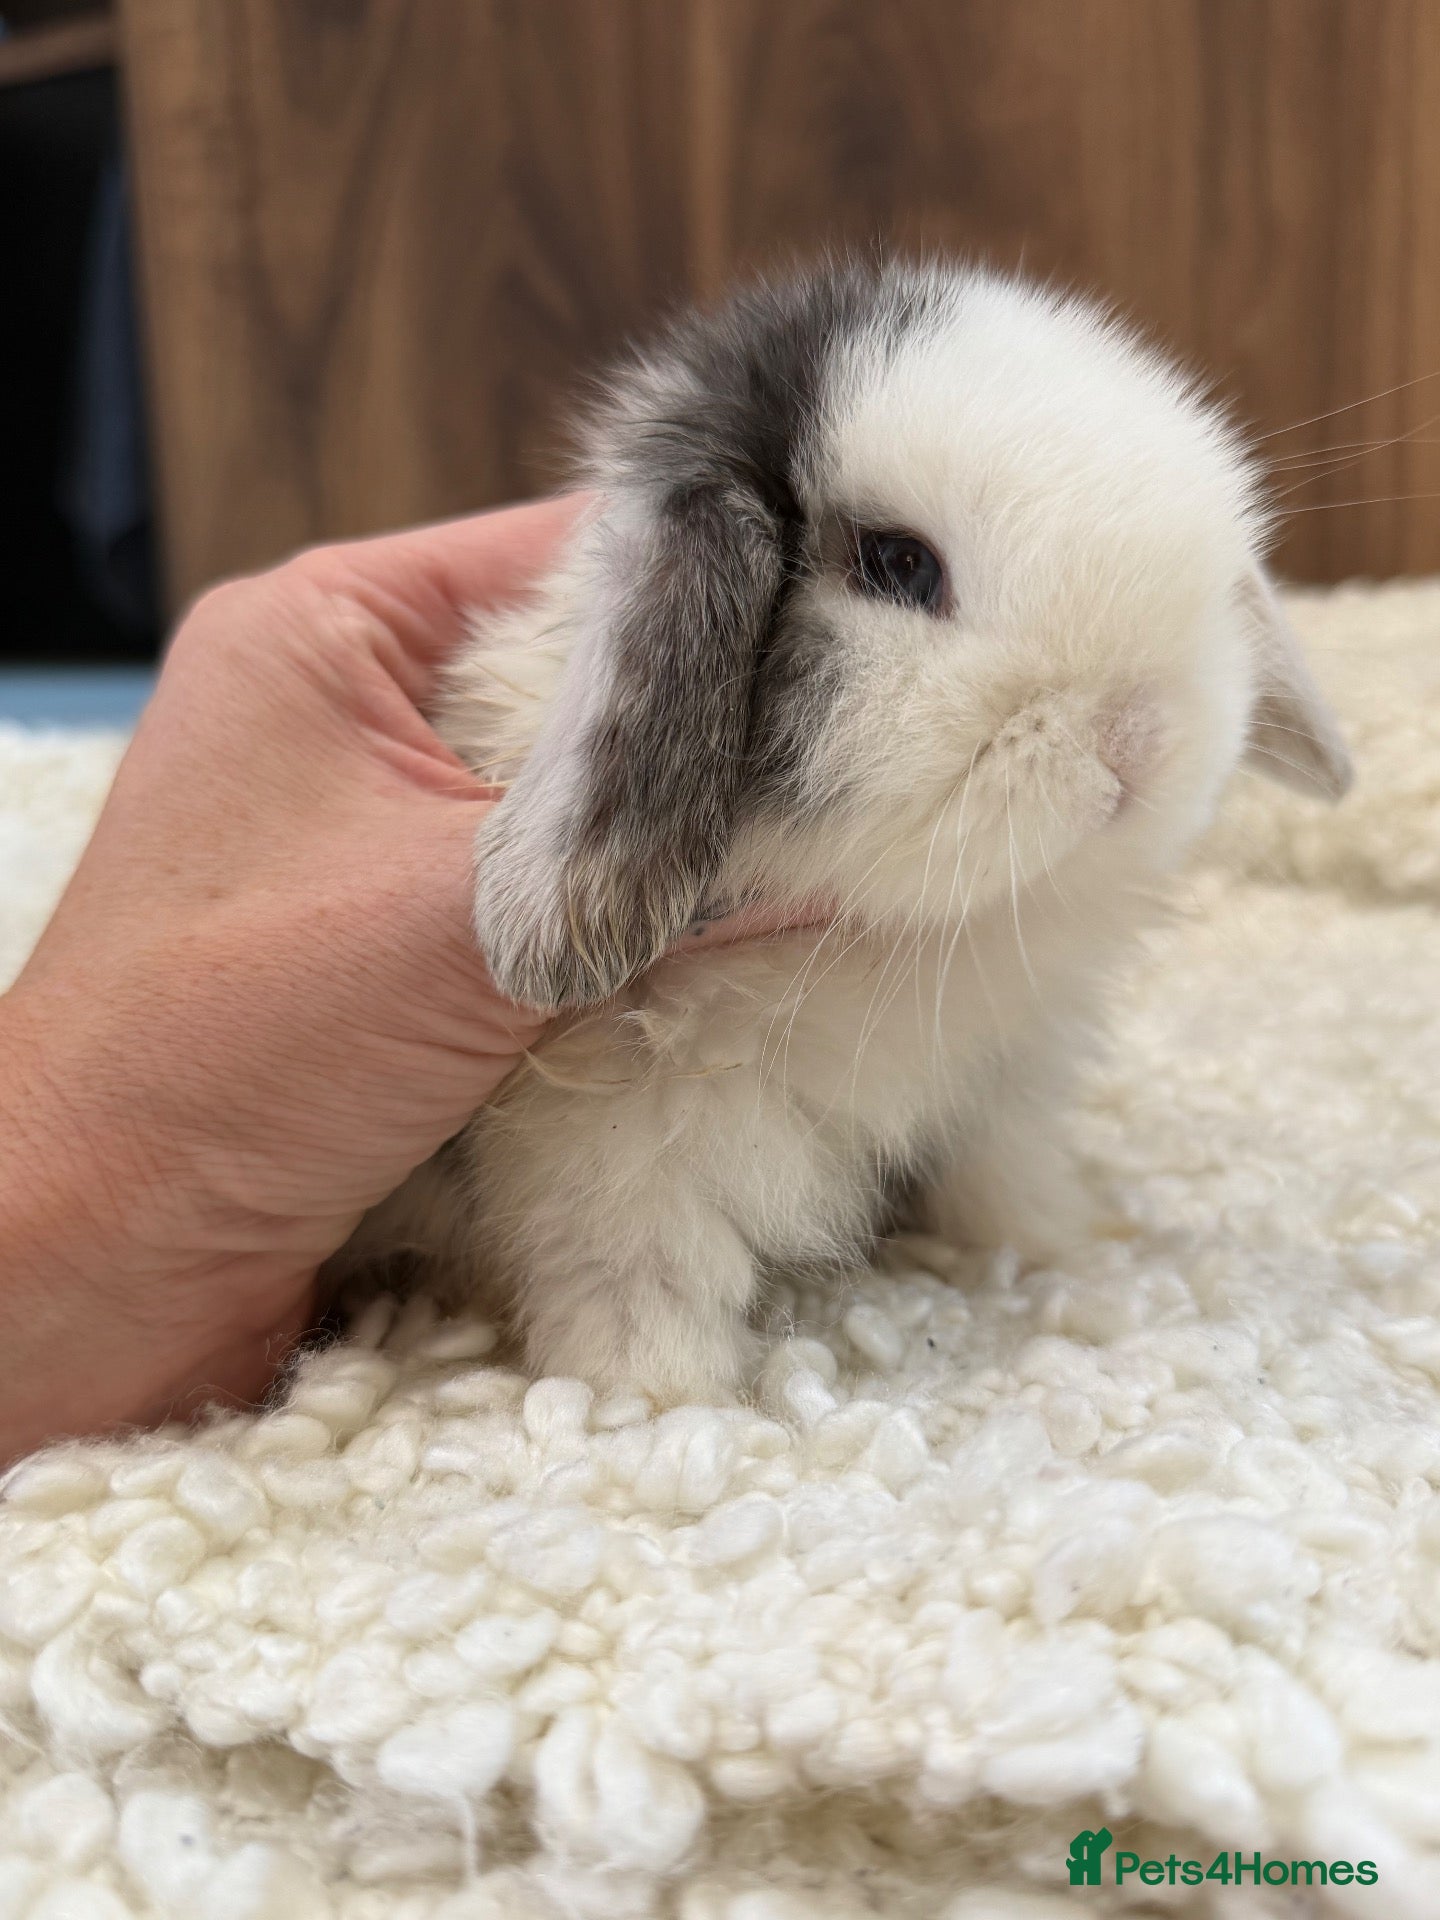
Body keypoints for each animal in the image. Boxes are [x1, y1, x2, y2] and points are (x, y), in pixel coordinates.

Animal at [343, 259, 1351, 1404]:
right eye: (897, 563)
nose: (1136, 737)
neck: (908, 938)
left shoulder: (998, 1083)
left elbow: (1004, 1177)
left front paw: (1063, 1246)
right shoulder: (609, 1142)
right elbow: (635, 1272)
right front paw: (654, 1395)